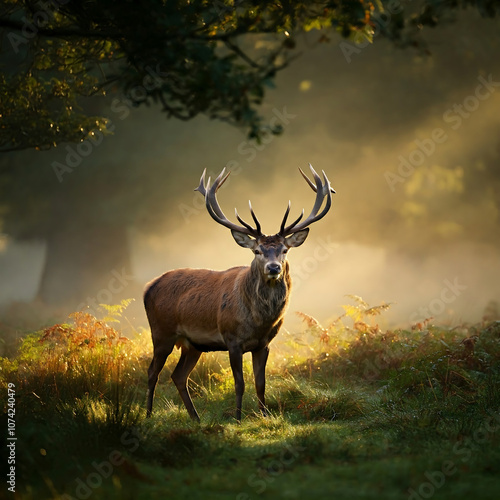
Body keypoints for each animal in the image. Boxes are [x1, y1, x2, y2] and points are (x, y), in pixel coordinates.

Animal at [144, 165, 332, 422]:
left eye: (284, 249)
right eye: (257, 250)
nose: (274, 268)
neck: (258, 321)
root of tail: (148, 287)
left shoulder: (264, 344)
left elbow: (261, 383)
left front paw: (265, 416)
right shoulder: (232, 339)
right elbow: (240, 383)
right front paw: (238, 418)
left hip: (193, 344)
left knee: (178, 375)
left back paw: (196, 418)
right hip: (161, 332)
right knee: (152, 372)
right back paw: (148, 415)